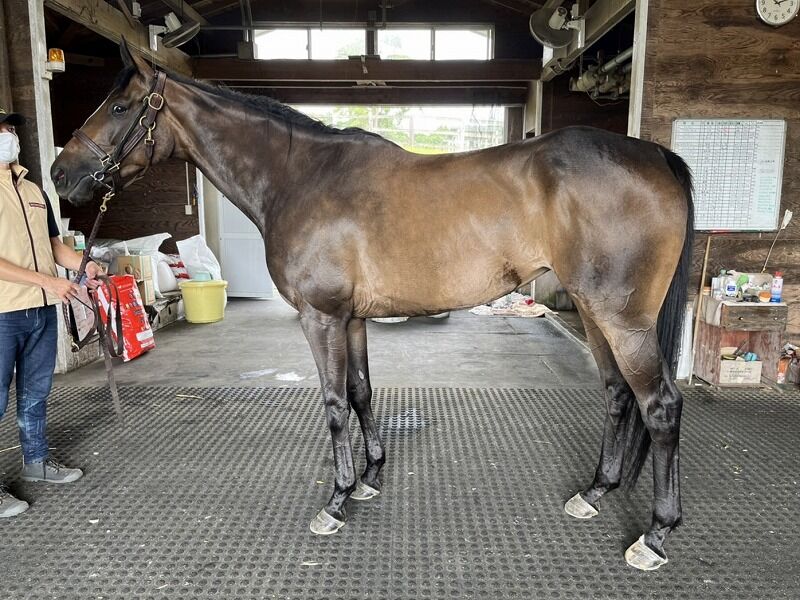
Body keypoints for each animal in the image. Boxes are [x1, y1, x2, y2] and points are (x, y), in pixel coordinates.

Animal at [51, 40, 693, 571]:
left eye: (119, 107)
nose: (61, 173)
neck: (299, 177)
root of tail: (656, 157)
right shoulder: (352, 318)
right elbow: (361, 392)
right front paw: (370, 477)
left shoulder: (320, 317)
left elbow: (335, 404)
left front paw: (336, 501)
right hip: (594, 311)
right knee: (618, 396)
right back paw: (595, 493)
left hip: (623, 320)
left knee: (659, 406)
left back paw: (656, 535)